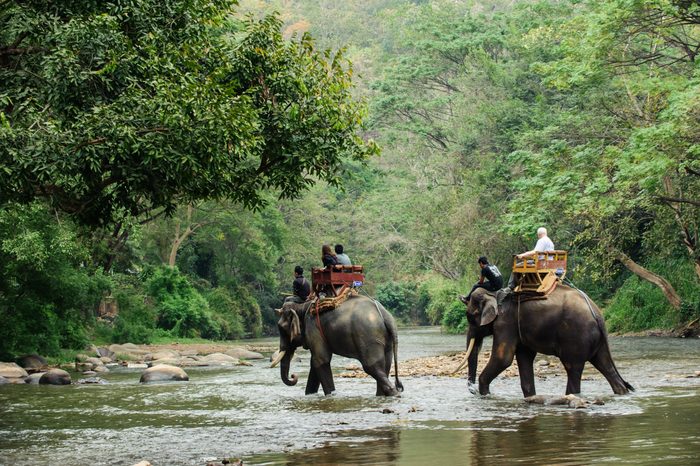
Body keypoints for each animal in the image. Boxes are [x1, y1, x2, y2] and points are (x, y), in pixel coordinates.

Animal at [271, 294, 403, 396]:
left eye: (281, 328)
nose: (293, 376)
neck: (303, 305)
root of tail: (386, 315)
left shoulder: (313, 328)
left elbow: (321, 360)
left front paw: (331, 395)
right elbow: (315, 363)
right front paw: (310, 395)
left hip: (368, 337)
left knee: (371, 366)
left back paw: (394, 393)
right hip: (384, 339)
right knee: (385, 365)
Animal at [457, 285, 633, 397]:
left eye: (470, 317)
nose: (472, 390)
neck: (492, 293)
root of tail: (597, 314)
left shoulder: (505, 323)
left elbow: (503, 358)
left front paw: (486, 395)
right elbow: (524, 357)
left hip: (576, 337)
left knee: (573, 368)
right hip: (598, 340)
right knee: (605, 365)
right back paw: (621, 392)